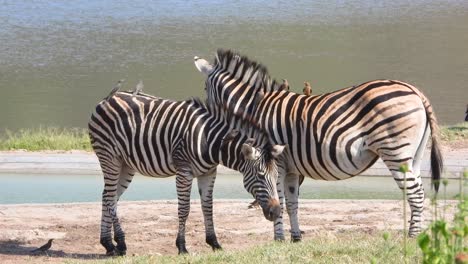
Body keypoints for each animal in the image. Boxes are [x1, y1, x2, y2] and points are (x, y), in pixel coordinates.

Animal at [89, 83, 284, 255]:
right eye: (260, 175)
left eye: (276, 176)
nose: (276, 212)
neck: (211, 141)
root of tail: (108, 98)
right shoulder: (184, 172)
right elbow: (184, 209)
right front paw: (182, 246)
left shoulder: (208, 173)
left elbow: (208, 207)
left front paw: (214, 243)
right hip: (109, 157)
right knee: (109, 198)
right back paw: (120, 243)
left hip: (126, 164)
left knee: (108, 197)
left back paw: (108, 244)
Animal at [193, 49, 442, 241]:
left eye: (205, 89)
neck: (255, 111)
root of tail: (415, 91)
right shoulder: (291, 168)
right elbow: (292, 203)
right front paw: (295, 238)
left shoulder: (277, 163)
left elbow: (279, 200)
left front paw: (278, 239)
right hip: (413, 156)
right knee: (420, 191)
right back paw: (417, 235)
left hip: (395, 151)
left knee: (415, 194)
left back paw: (412, 238)